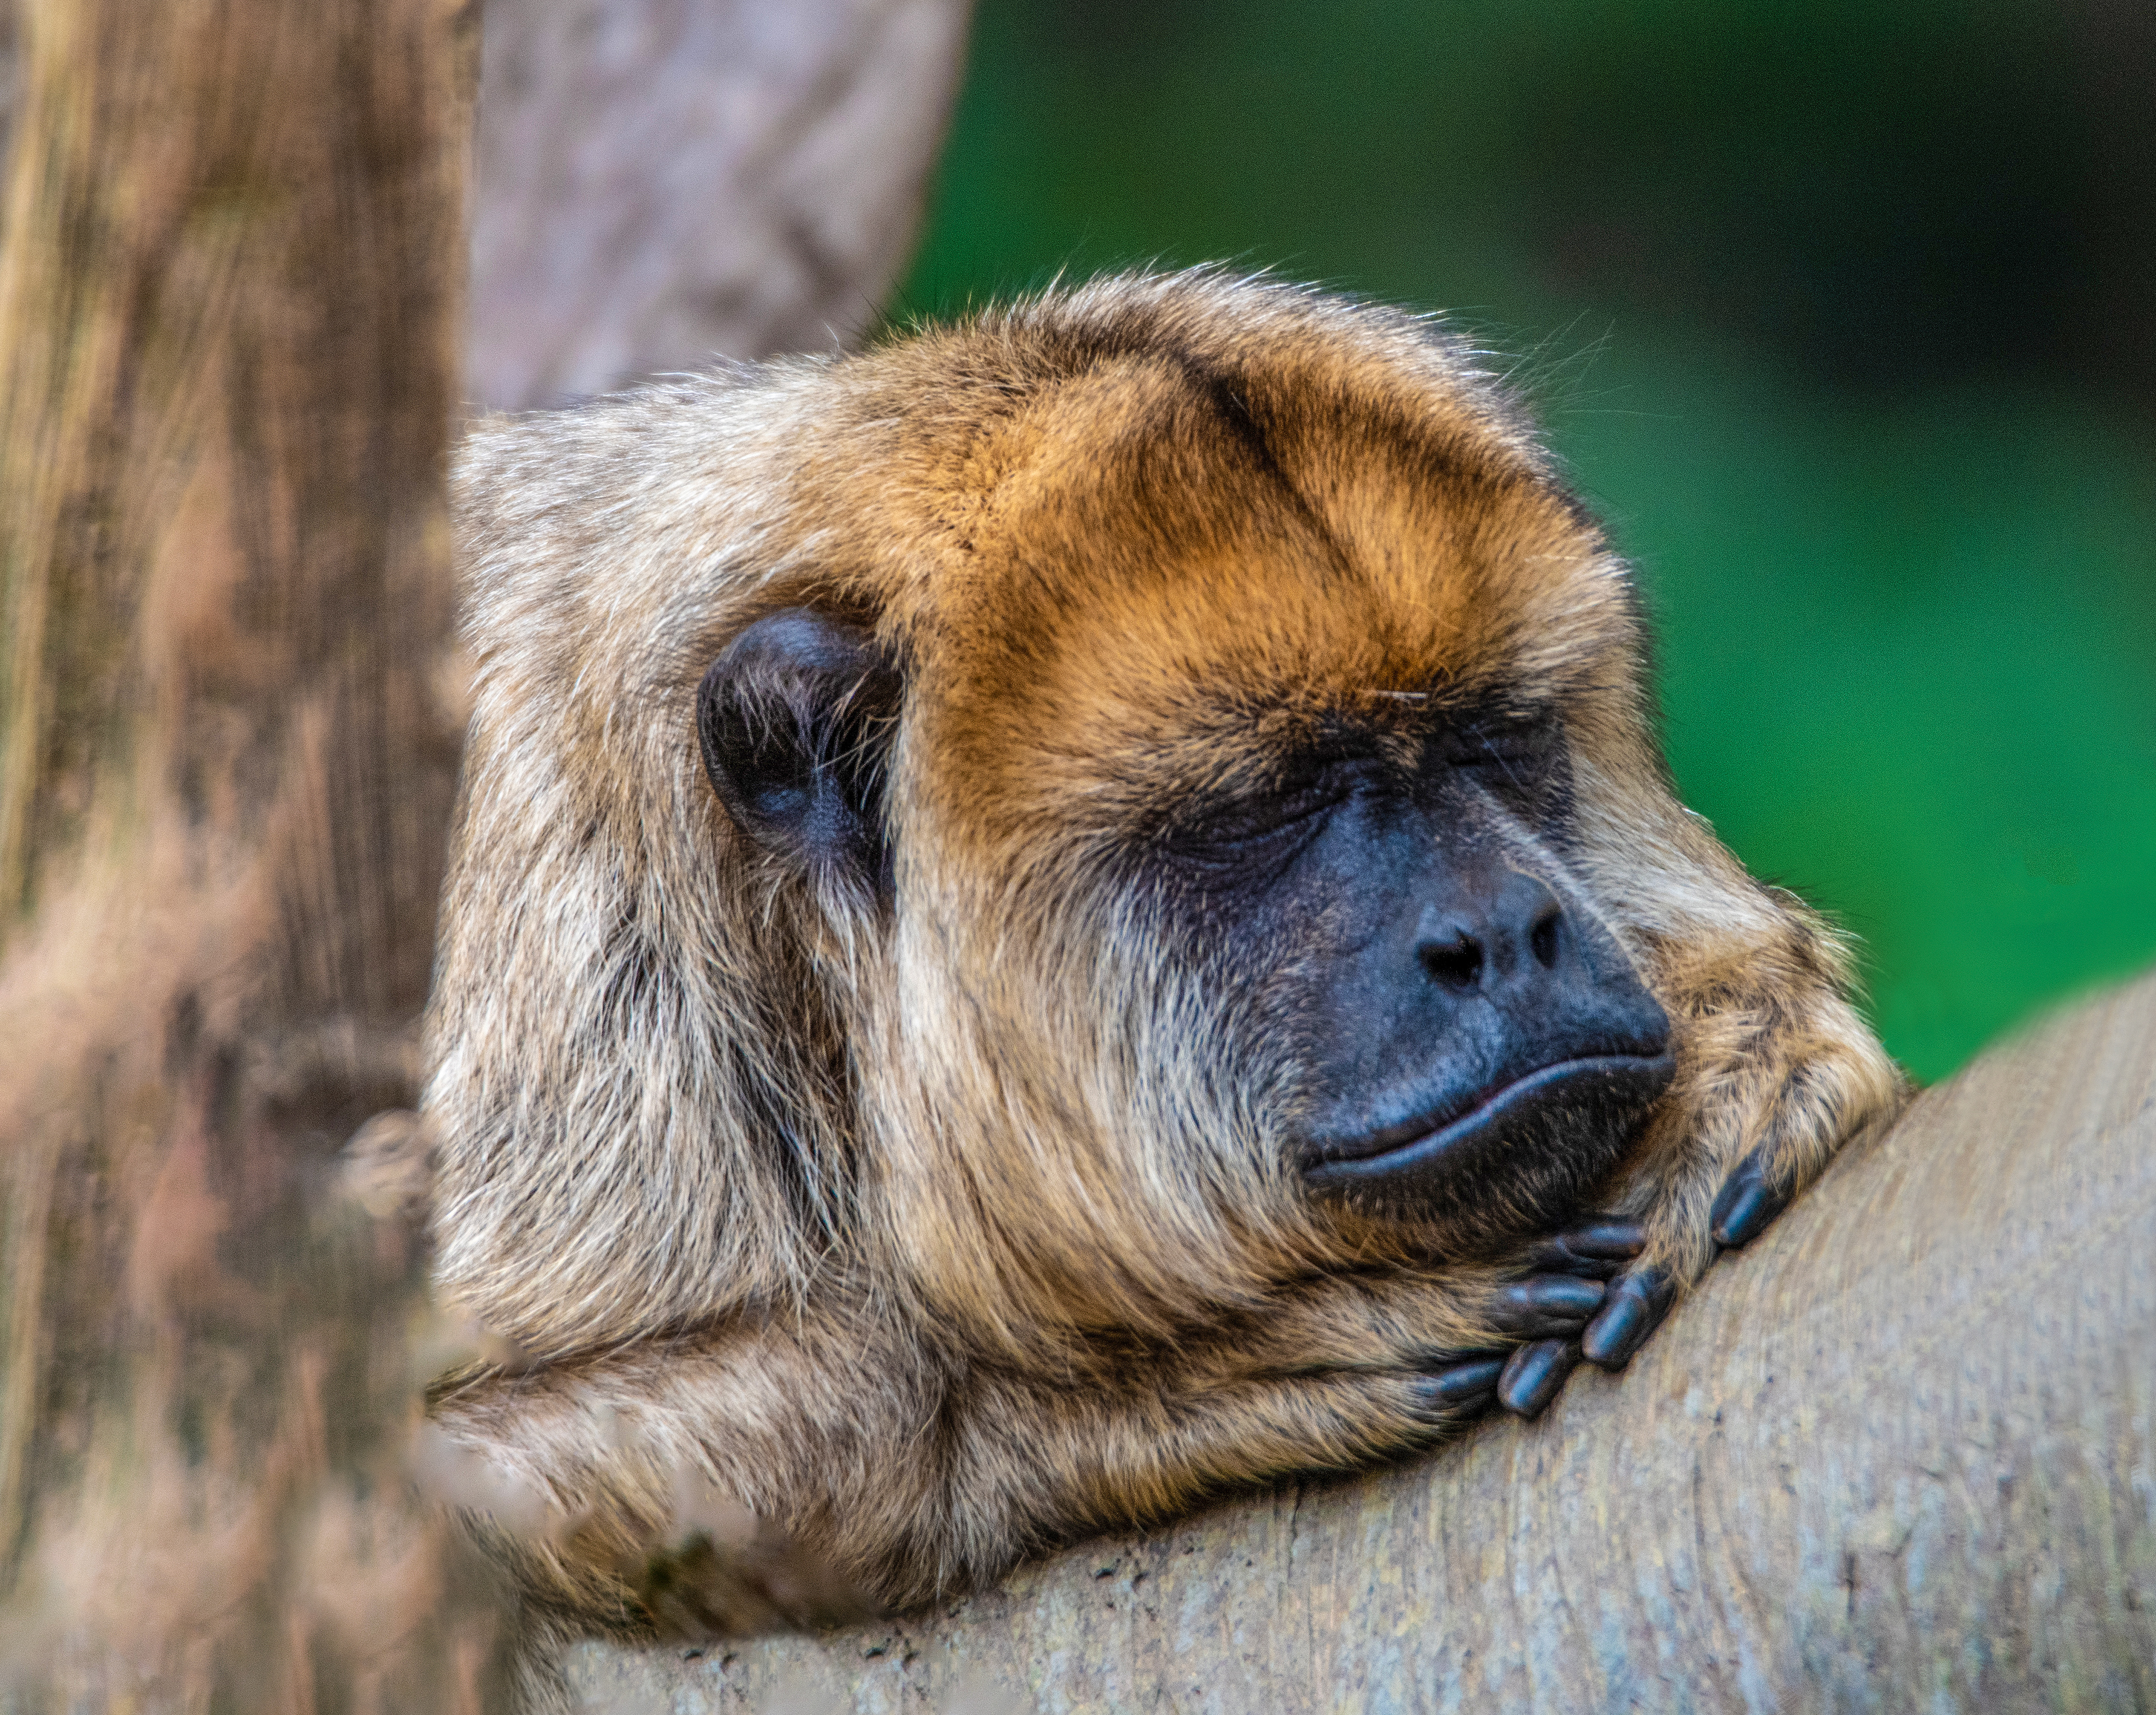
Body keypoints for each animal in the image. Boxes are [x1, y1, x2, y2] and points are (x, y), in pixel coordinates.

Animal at [420, 269, 1906, 1648]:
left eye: (1491, 739)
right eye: (1272, 806)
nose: (1503, 933)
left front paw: (1748, 1037)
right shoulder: (552, 1025)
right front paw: (1145, 1385)